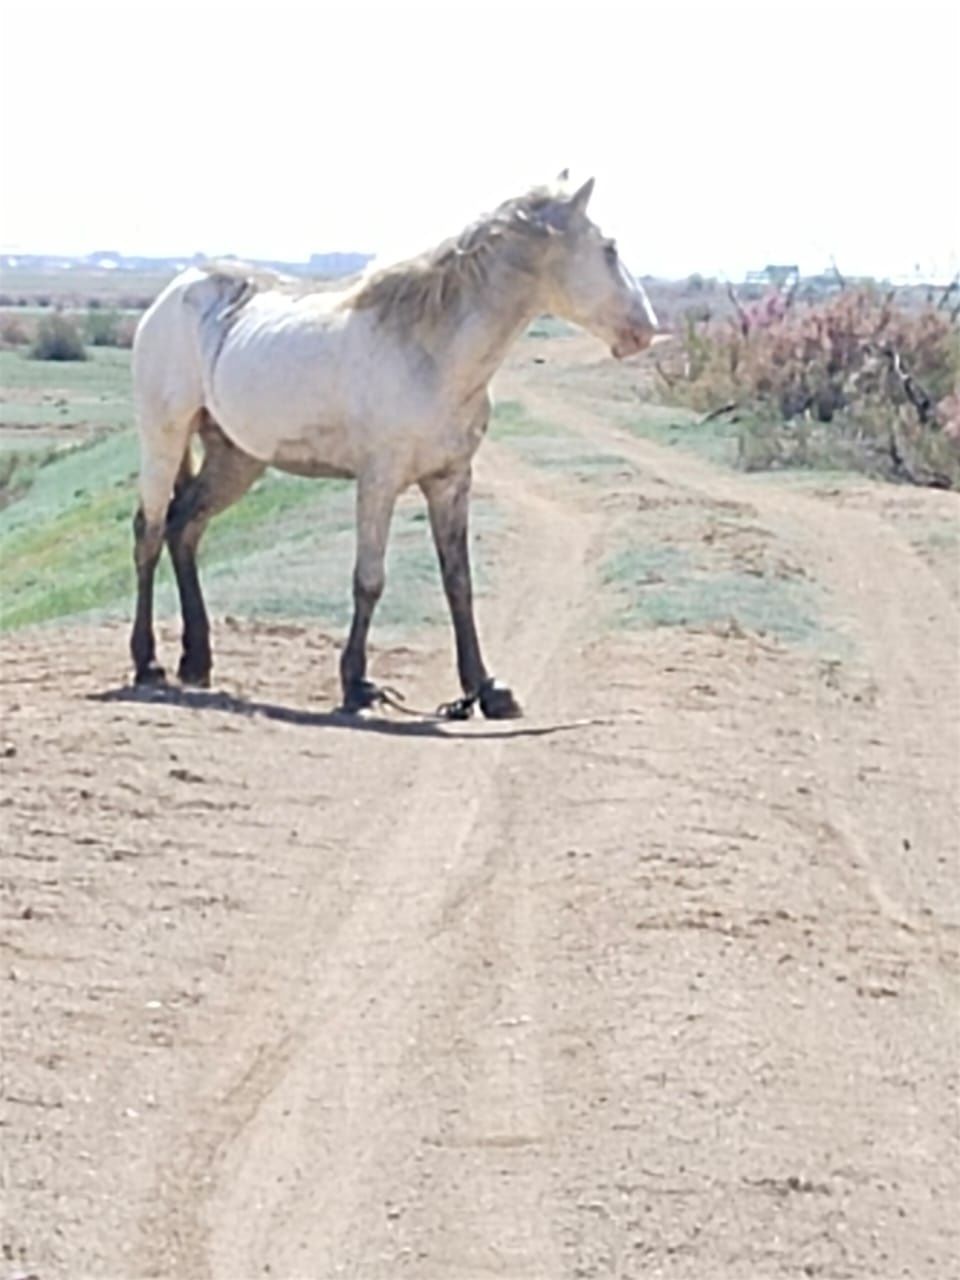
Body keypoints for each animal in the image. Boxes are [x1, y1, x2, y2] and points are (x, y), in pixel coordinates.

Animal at [129, 177, 660, 721]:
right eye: (610, 248)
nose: (646, 329)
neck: (432, 351)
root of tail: (177, 289)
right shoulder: (379, 481)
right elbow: (369, 580)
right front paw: (357, 685)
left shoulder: (450, 482)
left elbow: (459, 583)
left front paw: (485, 690)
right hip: (164, 435)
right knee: (150, 532)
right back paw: (148, 664)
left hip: (235, 457)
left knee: (184, 528)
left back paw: (197, 662)